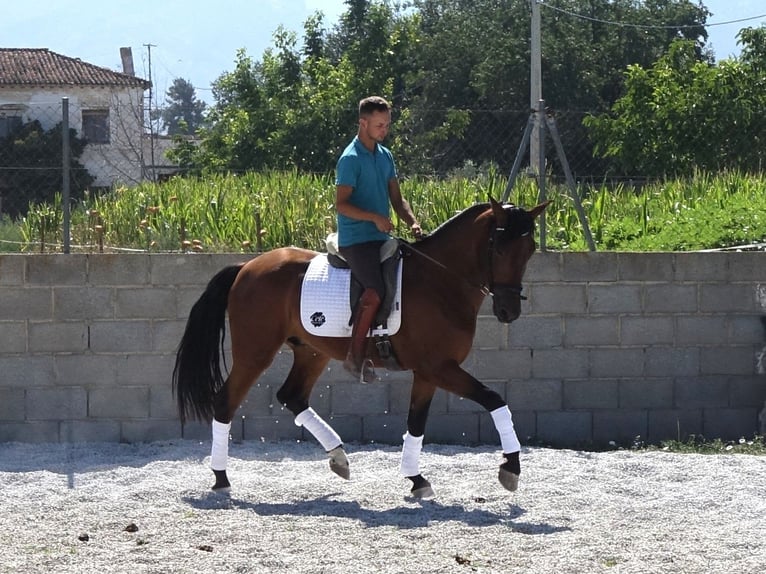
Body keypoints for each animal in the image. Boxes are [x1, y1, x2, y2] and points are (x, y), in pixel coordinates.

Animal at [173, 197, 549, 498]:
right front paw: (511, 468)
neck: (441, 281)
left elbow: (416, 424)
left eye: (529, 250)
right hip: (255, 353)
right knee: (226, 402)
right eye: (499, 248)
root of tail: (247, 267)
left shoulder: (429, 373)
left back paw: (339, 457)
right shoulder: (440, 368)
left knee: (292, 396)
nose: (509, 311)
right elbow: (495, 400)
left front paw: (416, 480)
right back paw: (221, 477)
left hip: (312, 351)